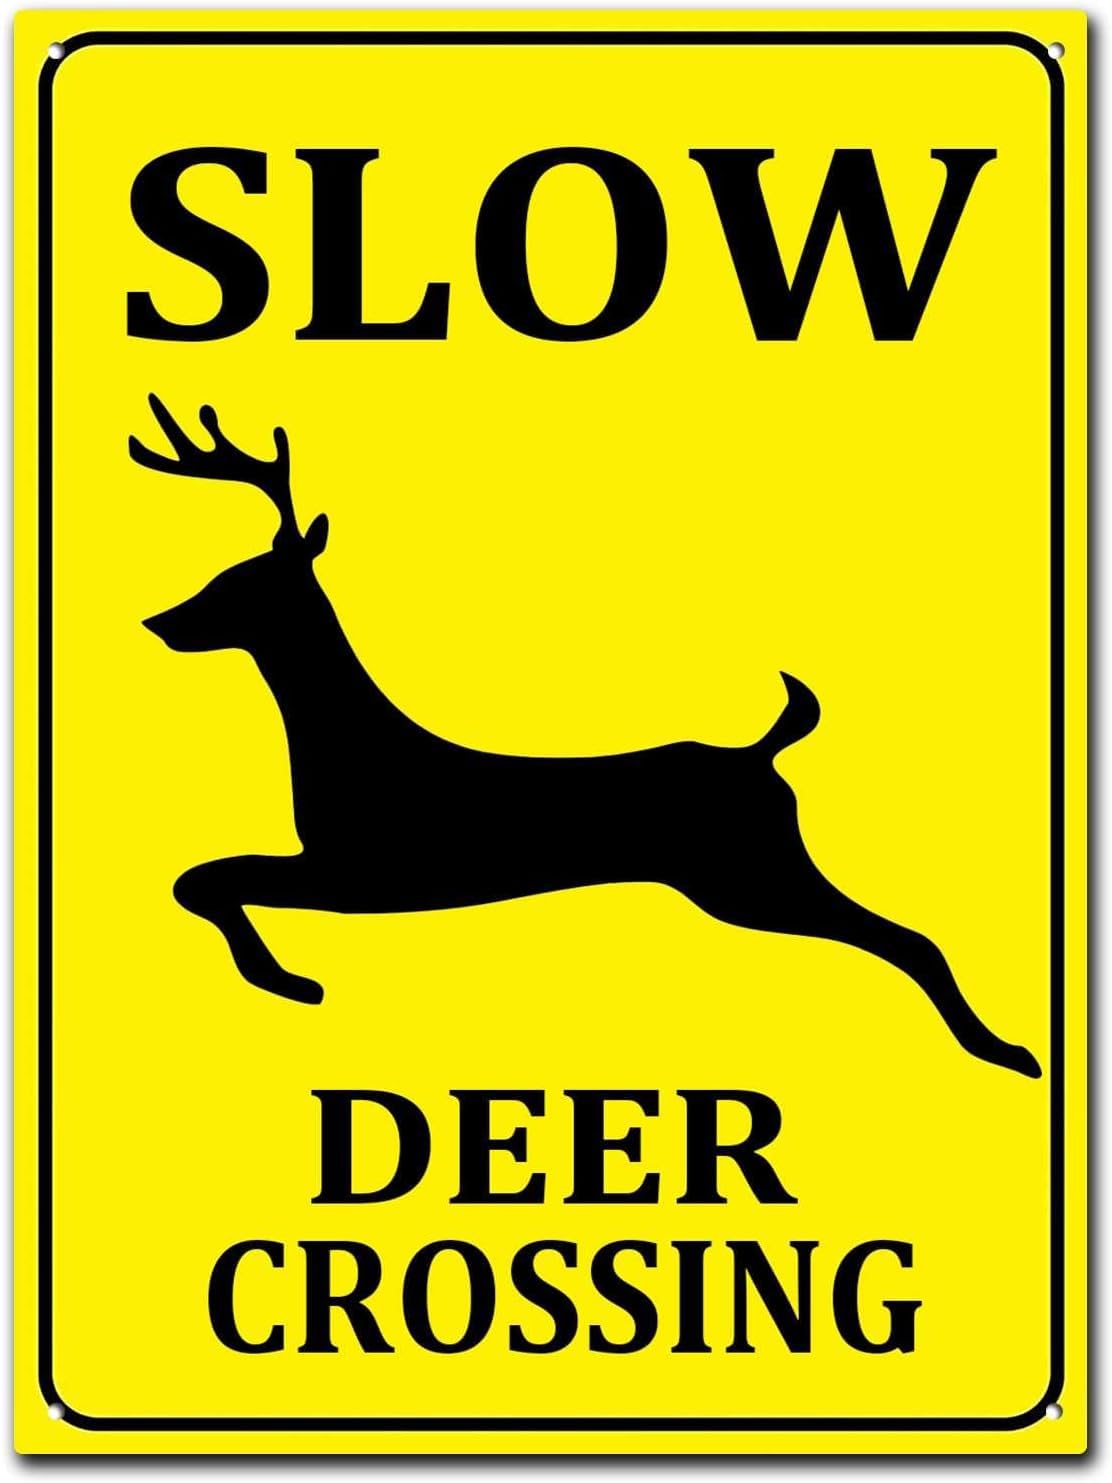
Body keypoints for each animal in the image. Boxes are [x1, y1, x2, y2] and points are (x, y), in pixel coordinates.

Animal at [131, 395, 1040, 1079]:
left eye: (236, 582)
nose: (160, 622)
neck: (349, 747)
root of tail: (762, 751)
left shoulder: (366, 871)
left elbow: (203, 878)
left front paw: (289, 980)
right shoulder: (350, 872)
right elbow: (202, 877)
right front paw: (287, 978)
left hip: (755, 874)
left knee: (911, 937)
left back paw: (1005, 1051)